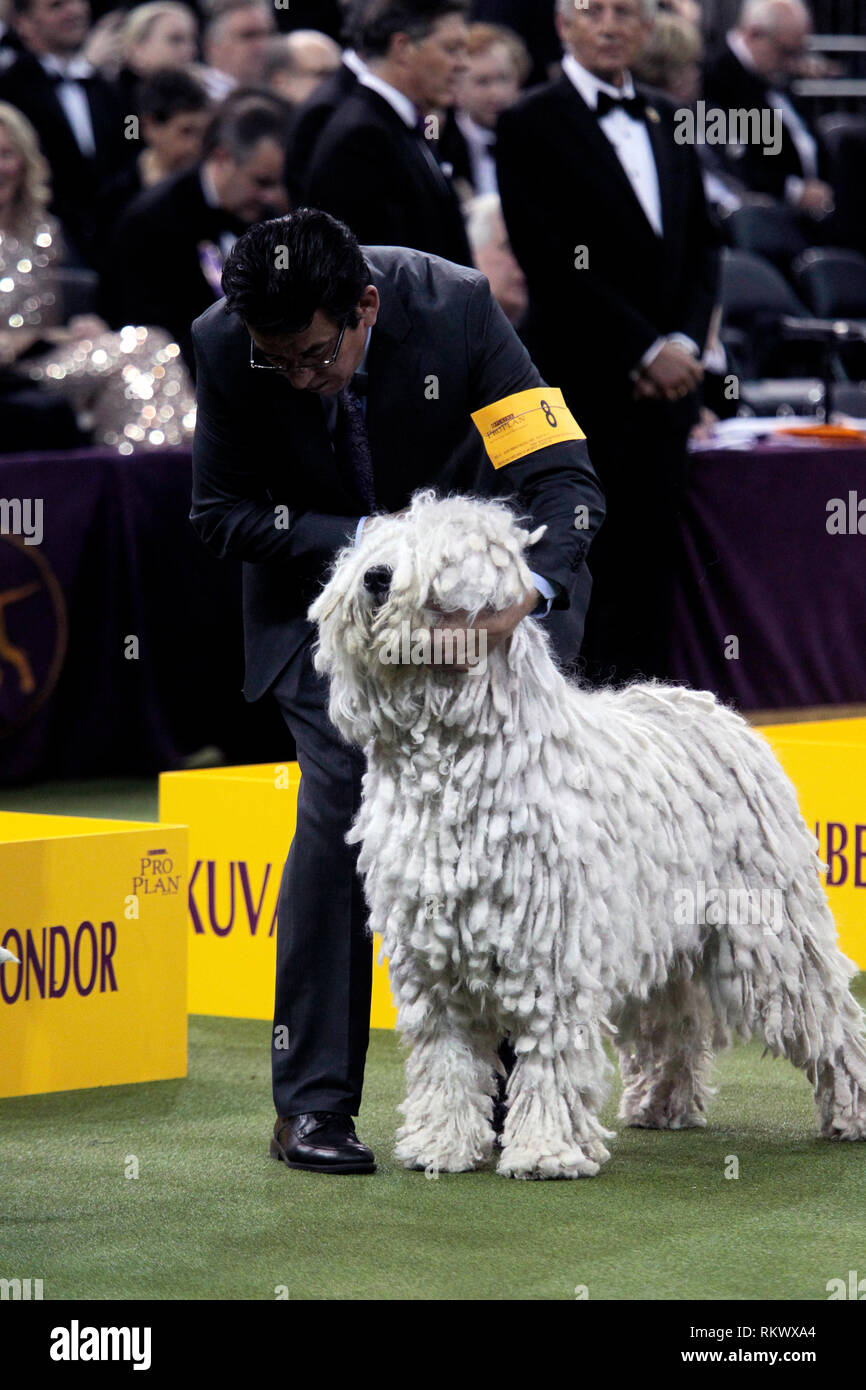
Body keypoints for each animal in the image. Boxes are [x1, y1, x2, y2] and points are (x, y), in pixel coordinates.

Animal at [309, 494, 866, 1178]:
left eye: (440, 554)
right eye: (377, 546)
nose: (376, 578)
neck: (454, 760)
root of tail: (722, 716)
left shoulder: (549, 949)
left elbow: (547, 1048)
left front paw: (544, 1151)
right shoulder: (431, 954)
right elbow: (445, 1057)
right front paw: (441, 1145)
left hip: (770, 929)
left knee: (829, 1019)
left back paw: (851, 1115)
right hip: (665, 932)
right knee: (671, 1021)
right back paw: (661, 1104)